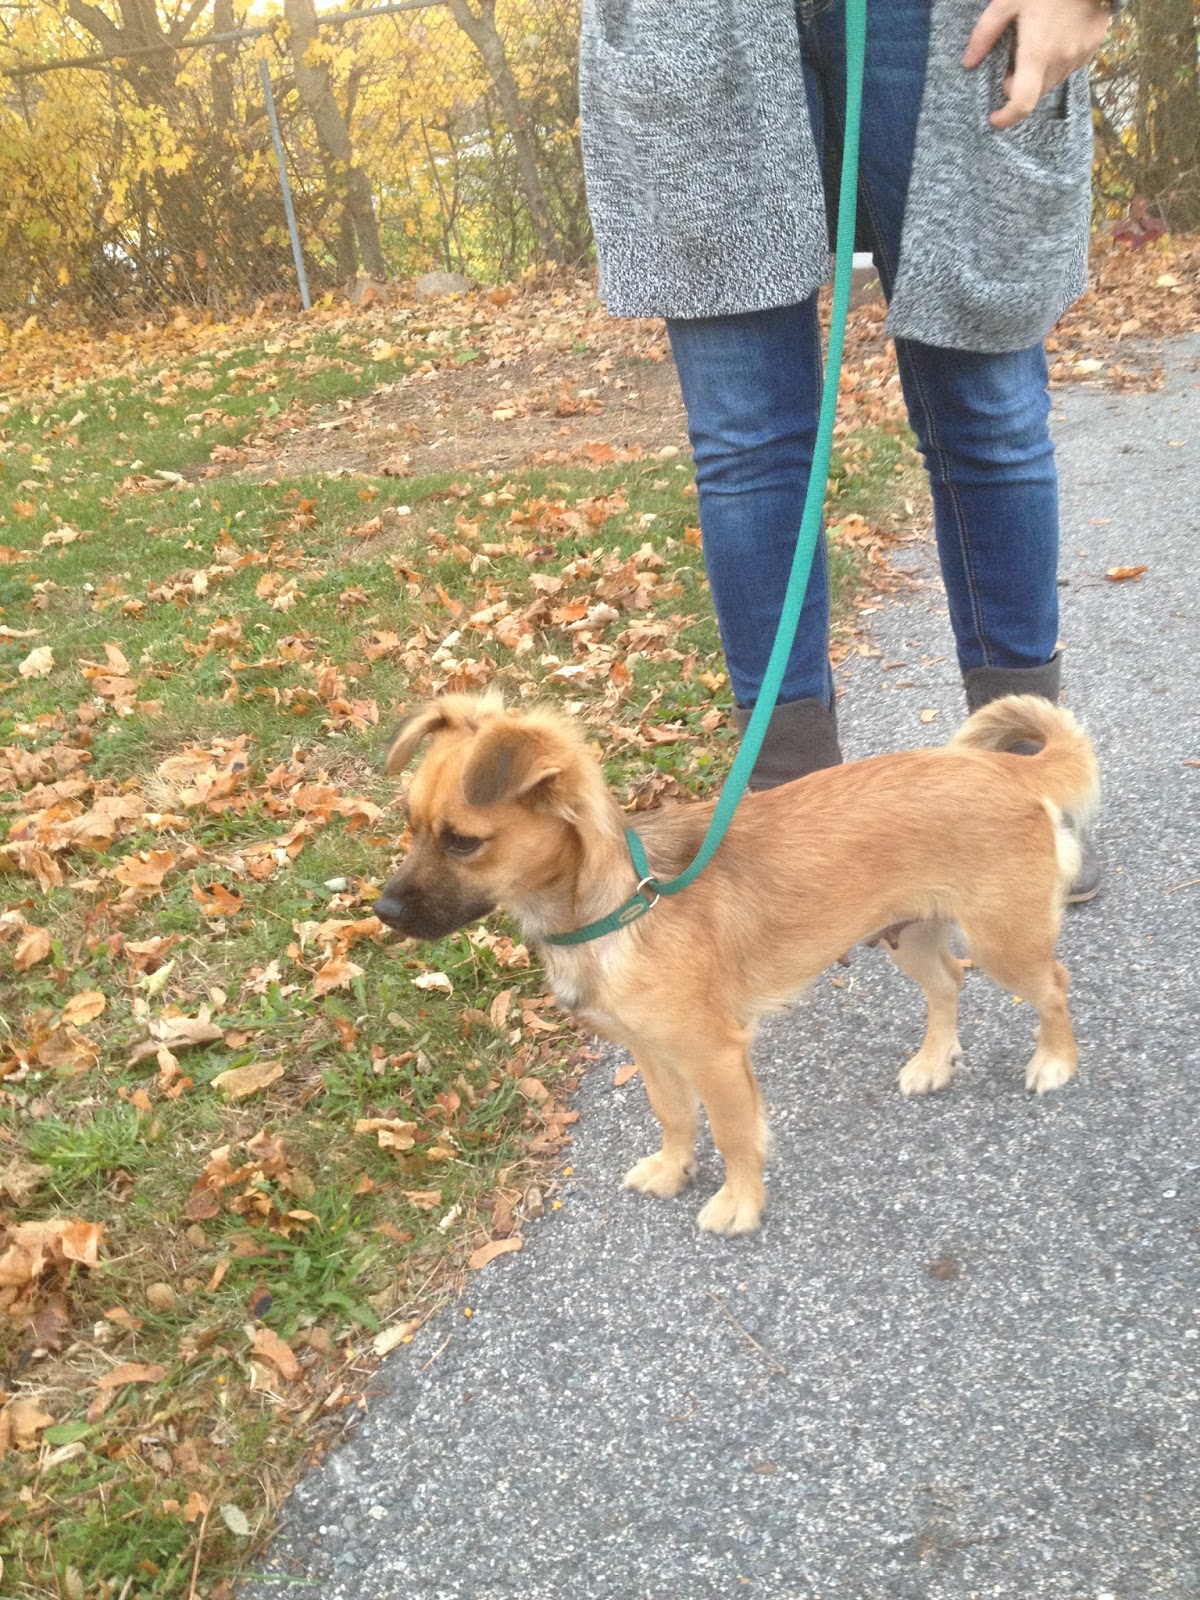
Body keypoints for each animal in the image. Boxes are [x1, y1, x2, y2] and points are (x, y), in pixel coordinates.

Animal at [374, 692, 1099, 1236]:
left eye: (463, 842)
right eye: (410, 825)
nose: (381, 911)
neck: (619, 907)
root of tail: (1006, 771)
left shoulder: (715, 1054)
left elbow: (731, 1133)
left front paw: (740, 1202)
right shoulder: (652, 1051)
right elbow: (674, 1117)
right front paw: (674, 1170)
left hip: (1004, 941)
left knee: (1054, 987)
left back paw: (1056, 1061)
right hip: (910, 934)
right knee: (948, 982)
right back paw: (933, 1061)